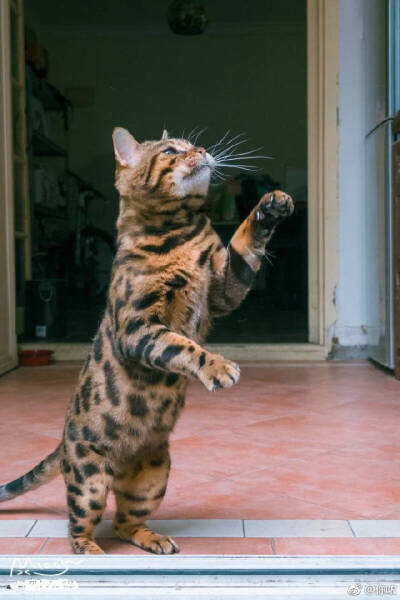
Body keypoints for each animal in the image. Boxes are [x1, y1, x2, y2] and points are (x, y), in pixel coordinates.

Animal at [0, 126, 294, 552]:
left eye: (191, 145)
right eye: (171, 151)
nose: (202, 150)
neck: (178, 231)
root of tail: (63, 442)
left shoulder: (223, 290)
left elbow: (243, 247)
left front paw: (270, 206)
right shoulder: (137, 327)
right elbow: (182, 346)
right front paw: (218, 367)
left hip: (154, 477)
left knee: (124, 522)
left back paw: (153, 539)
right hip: (89, 481)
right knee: (78, 526)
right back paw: (91, 552)